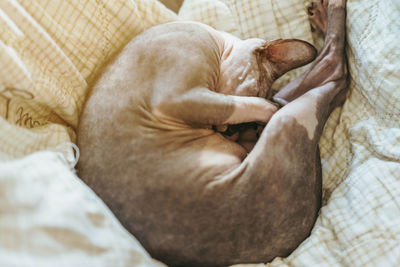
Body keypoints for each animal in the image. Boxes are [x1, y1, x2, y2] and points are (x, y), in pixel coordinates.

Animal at [77, 0, 346, 266]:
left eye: (241, 128)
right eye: (254, 89)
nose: (233, 131)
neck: (216, 41)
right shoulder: (180, 97)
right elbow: (243, 105)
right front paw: (263, 109)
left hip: (290, 119)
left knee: (332, 76)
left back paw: (325, 14)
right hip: (289, 118)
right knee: (333, 75)